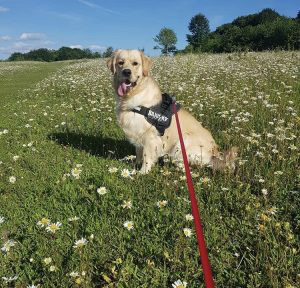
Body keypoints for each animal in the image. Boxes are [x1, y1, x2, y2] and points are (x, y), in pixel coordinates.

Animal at [107, 49, 237, 173]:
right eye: (120, 63)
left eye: (135, 63)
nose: (126, 72)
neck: (134, 95)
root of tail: (215, 154)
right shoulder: (137, 132)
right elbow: (139, 153)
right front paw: (135, 166)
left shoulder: (150, 136)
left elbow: (147, 156)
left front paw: (143, 172)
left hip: (182, 142)